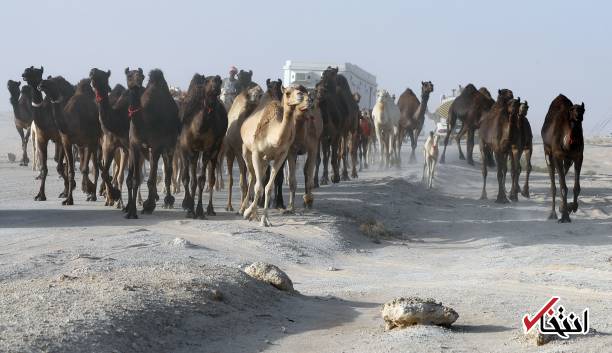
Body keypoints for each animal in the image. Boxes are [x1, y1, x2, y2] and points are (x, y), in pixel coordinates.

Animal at [21, 66, 70, 201]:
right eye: (28, 69)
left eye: (38, 72)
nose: (24, 74)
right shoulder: (42, 138)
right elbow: (44, 168)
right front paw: (40, 195)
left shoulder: (60, 139)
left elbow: (59, 166)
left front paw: (66, 190)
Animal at [38, 76, 101, 204]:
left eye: (54, 82)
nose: (41, 84)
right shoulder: (66, 141)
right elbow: (71, 170)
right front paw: (68, 199)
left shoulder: (88, 141)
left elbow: (84, 169)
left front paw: (87, 191)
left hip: (96, 141)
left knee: (96, 168)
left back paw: (93, 195)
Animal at [123, 68, 179, 217]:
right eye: (129, 76)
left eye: (141, 76)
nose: (137, 82)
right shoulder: (134, 146)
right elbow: (136, 179)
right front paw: (132, 210)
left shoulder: (155, 146)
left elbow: (151, 179)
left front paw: (148, 206)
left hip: (170, 145)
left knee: (168, 170)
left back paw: (168, 200)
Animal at [180, 73, 231, 217]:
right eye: (208, 81)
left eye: (219, 81)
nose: (217, 82)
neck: (199, 127)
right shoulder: (191, 149)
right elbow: (191, 180)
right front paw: (190, 209)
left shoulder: (208, 150)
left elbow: (202, 179)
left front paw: (199, 210)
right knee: (187, 176)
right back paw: (187, 203)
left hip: (216, 149)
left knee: (211, 178)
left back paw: (210, 209)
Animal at [238, 85, 308, 226]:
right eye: (287, 93)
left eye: (303, 91)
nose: (300, 96)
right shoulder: (256, 153)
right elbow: (258, 187)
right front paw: (248, 213)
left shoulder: (281, 156)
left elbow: (268, 187)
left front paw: (265, 219)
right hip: (246, 151)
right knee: (252, 177)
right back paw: (243, 209)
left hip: (265, 161)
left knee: (259, 178)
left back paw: (254, 214)